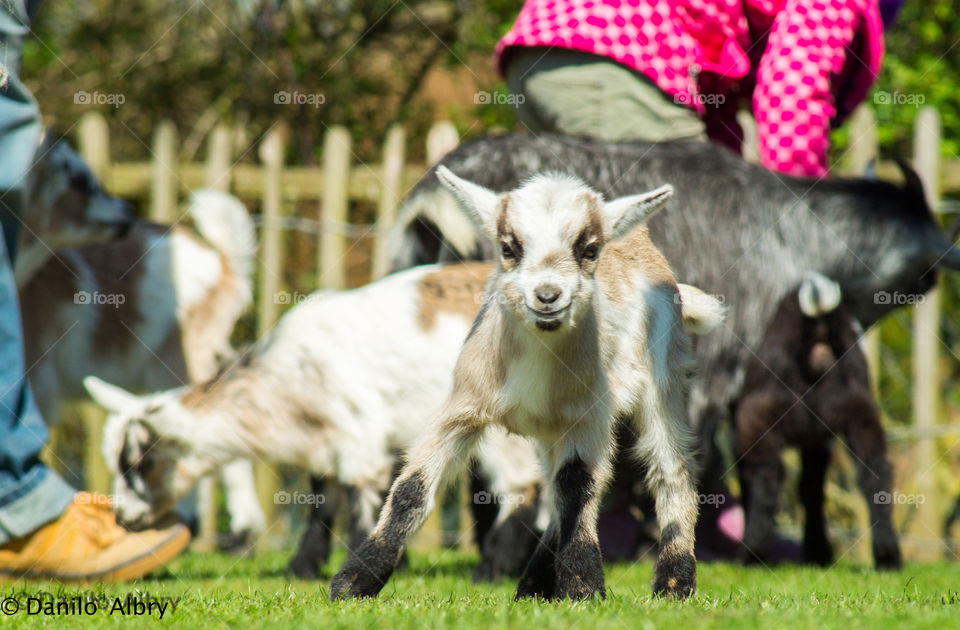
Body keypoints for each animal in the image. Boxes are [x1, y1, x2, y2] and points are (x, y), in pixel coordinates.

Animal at [331, 168, 723, 601]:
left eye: (589, 250)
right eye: (508, 247)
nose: (547, 295)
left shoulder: (588, 417)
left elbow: (578, 484)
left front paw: (583, 587)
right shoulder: (461, 405)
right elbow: (411, 489)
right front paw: (353, 582)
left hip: (662, 380)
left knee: (670, 469)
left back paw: (674, 583)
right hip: (550, 432)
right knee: (554, 491)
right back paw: (531, 587)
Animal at [734, 272, 901, 569]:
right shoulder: (818, 439)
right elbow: (812, 487)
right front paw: (819, 553)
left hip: (760, 412)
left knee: (767, 473)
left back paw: (751, 553)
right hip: (860, 408)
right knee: (875, 470)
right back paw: (887, 556)